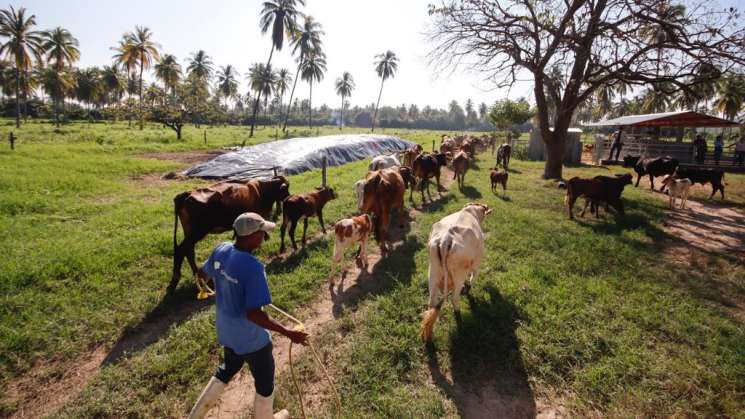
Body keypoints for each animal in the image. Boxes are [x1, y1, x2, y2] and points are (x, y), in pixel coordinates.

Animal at [422, 203, 492, 344]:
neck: (470, 212)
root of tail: (445, 239)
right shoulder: (476, 263)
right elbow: (473, 277)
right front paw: (468, 288)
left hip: (433, 273)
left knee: (431, 303)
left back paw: (429, 336)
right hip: (458, 275)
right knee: (454, 298)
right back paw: (459, 318)